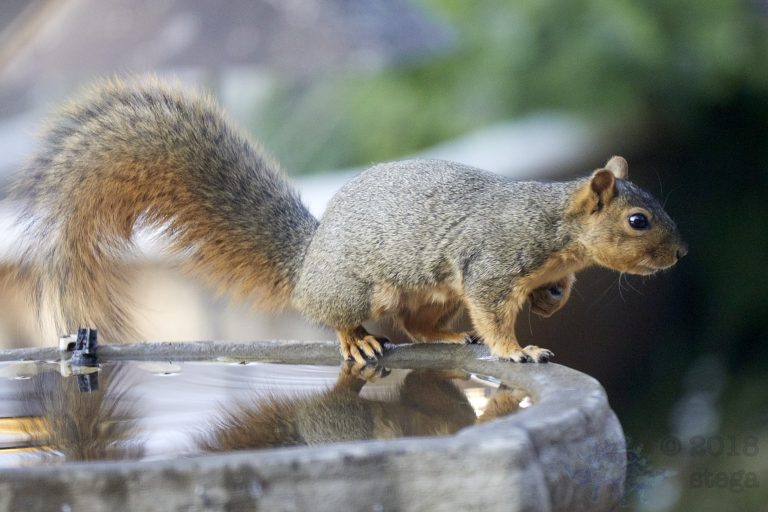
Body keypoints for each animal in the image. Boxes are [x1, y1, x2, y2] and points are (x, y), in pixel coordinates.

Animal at [13, 76, 687, 364]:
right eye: (637, 221)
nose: (680, 256)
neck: (554, 227)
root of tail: (307, 261)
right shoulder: (493, 265)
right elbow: (495, 314)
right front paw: (519, 350)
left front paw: (552, 299)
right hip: (356, 288)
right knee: (339, 318)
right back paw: (359, 339)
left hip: (430, 291)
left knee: (416, 326)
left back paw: (447, 338)